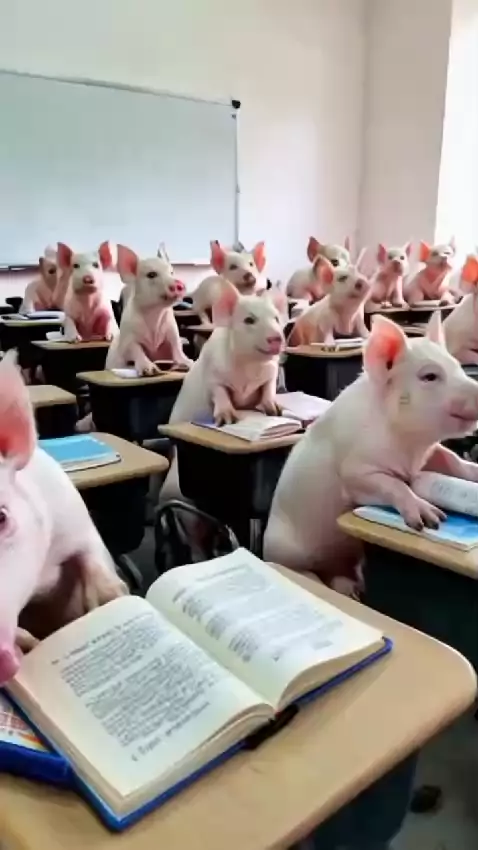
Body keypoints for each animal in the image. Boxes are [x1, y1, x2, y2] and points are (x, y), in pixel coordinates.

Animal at [106, 244, 192, 375]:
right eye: (151, 274)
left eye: (172, 272)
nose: (179, 283)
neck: (154, 313)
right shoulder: (128, 338)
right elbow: (136, 349)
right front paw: (149, 370)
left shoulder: (172, 330)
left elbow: (177, 346)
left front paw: (189, 363)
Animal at [160, 284, 286, 501]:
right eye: (249, 320)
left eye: (276, 318)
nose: (277, 338)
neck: (249, 366)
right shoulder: (213, 376)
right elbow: (221, 393)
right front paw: (227, 420)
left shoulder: (271, 373)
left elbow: (267, 389)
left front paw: (276, 410)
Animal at [264, 312, 478, 593]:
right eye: (430, 376)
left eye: (457, 367)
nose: (477, 390)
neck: (410, 447)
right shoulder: (354, 473)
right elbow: (394, 484)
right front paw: (431, 521)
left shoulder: (428, 456)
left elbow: (451, 460)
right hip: (284, 552)